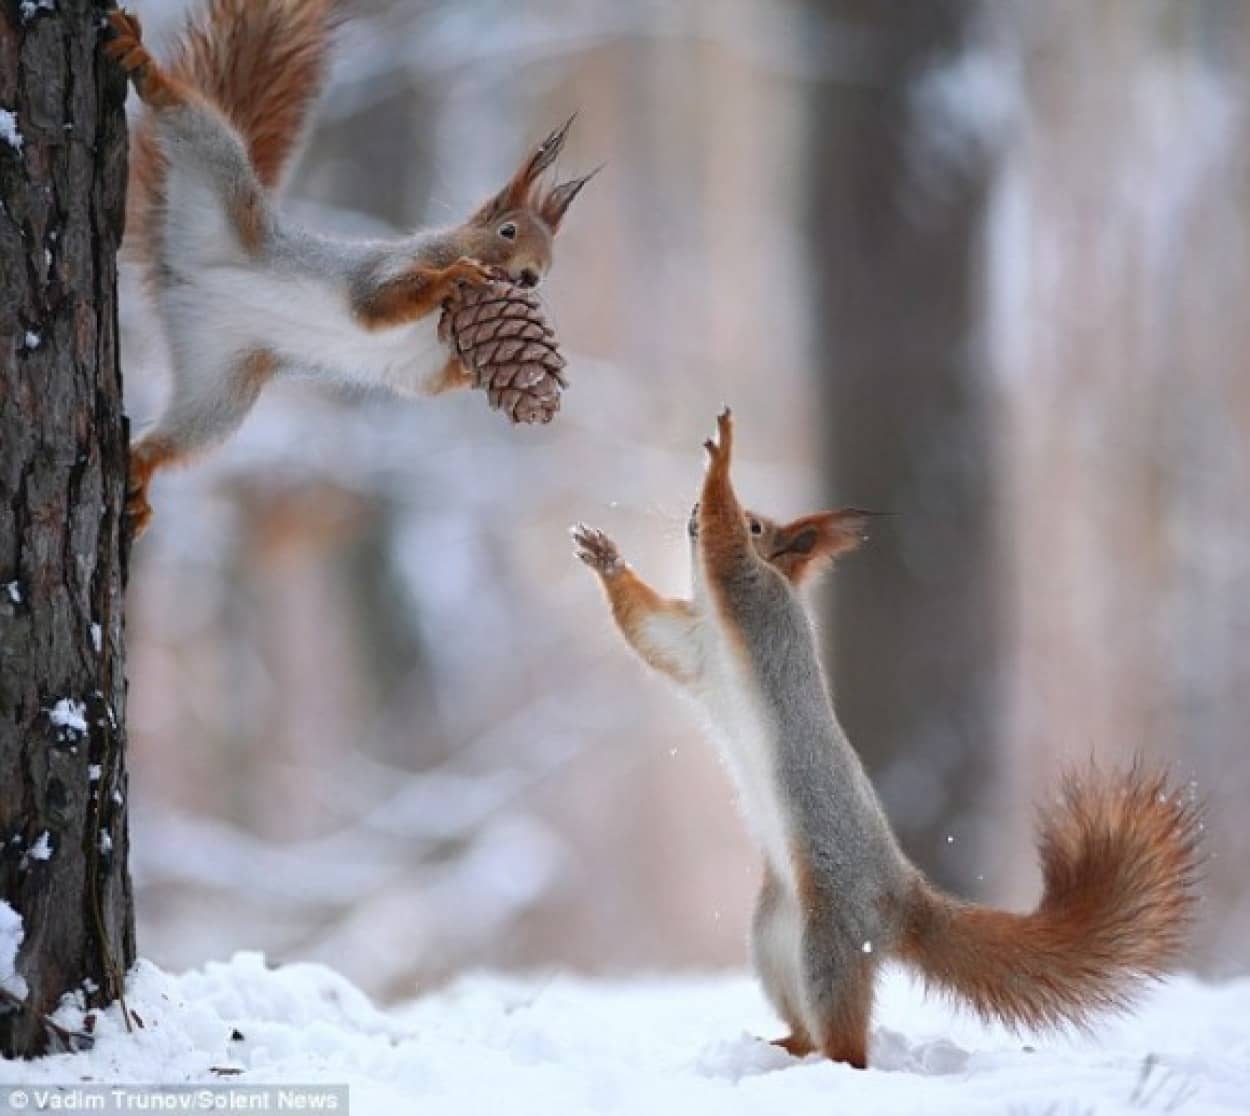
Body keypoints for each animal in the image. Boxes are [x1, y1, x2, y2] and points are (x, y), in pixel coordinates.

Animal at [107, 3, 595, 534]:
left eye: (550, 264)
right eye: (508, 231)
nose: (530, 277)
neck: (432, 325)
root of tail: (178, 275)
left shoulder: (420, 363)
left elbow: (425, 384)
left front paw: (471, 372)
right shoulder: (388, 266)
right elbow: (378, 303)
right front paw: (453, 277)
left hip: (220, 382)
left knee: (181, 436)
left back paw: (142, 471)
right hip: (218, 182)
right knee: (191, 120)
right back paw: (145, 67)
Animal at [572, 407, 1200, 1064]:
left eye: (758, 523)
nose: (691, 513)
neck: (718, 625)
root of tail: (903, 901)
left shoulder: (752, 596)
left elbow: (727, 552)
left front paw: (722, 459)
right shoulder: (692, 649)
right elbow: (647, 631)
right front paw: (604, 555)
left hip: (829, 937)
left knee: (849, 1042)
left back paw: (828, 1062)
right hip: (773, 938)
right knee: (807, 1022)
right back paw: (784, 1047)